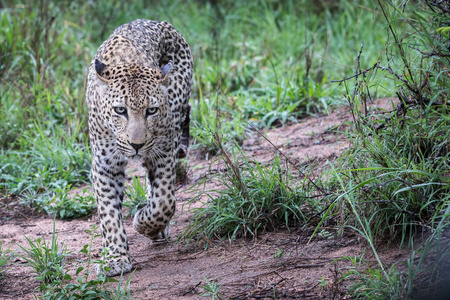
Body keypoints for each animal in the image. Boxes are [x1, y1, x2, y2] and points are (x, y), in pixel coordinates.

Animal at [85, 19, 192, 276]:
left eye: (151, 111)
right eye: (120, 110)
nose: (137, 144)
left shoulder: (163, 152)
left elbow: (164, 201)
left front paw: (146, 224)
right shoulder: (105, 165)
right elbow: (109, 213)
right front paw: (115, 258)